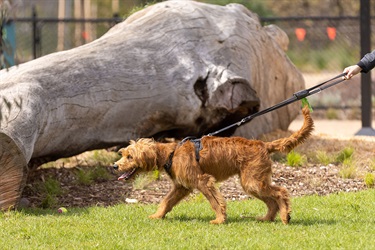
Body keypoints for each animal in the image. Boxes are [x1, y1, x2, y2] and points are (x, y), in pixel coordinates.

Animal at [114, 106, 314, 224]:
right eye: (122, 154)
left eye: (130, 156)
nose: (115, 166)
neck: (171, 152)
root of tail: (263, 144)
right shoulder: (181, 187)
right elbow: (166, 202)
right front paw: (157, 216)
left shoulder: (203, 181)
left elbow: (216, 202)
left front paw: (219, 220)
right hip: (253, 183)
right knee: (272, 201)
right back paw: (266, 218)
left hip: (253, 182)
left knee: (281, 192)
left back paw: (285, 216)